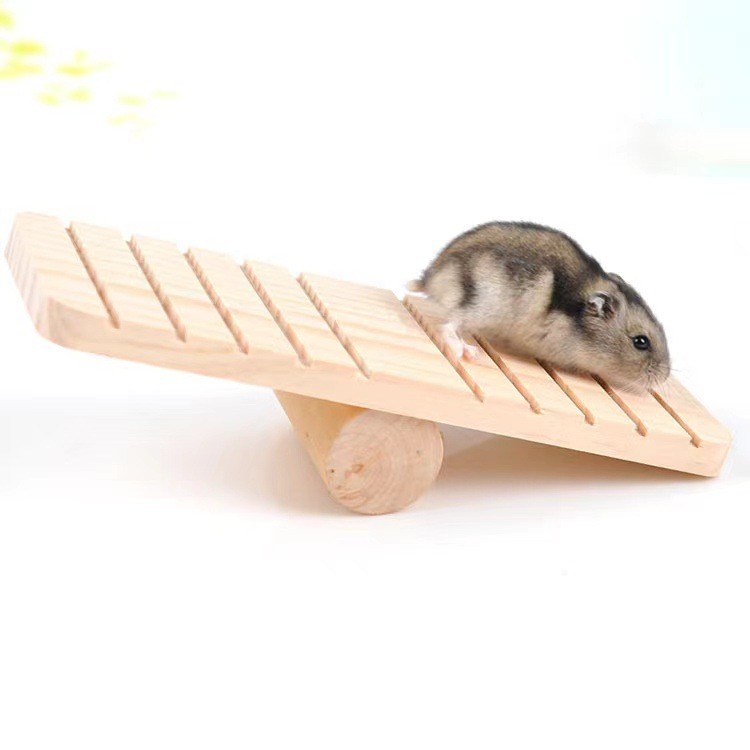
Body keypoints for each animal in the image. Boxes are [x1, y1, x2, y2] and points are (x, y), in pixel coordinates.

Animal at [410, 222, 670, 392]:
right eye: (640, 342)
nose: (665, 376)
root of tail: (430, 278)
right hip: (481, 305)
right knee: (449, 325)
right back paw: (467, 352)